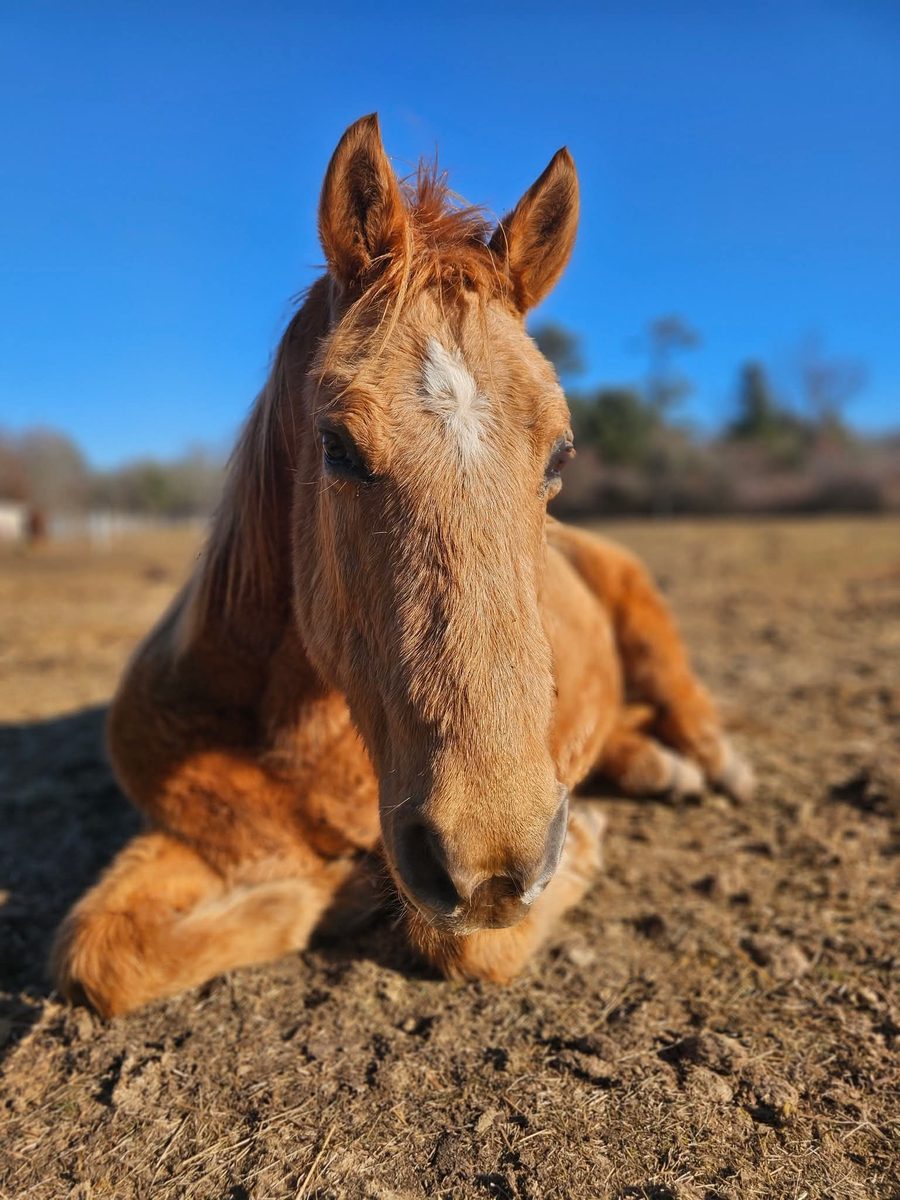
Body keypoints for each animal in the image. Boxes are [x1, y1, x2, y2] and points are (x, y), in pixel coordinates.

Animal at [53, 114, 753, 1016]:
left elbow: (457, 941)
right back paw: (650, 766)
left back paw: (709, 763)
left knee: (677, 690)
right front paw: (342, 890)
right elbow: (106, 952)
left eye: (561, 453)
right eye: (337, 446)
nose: (493, 863)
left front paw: (582, 844)